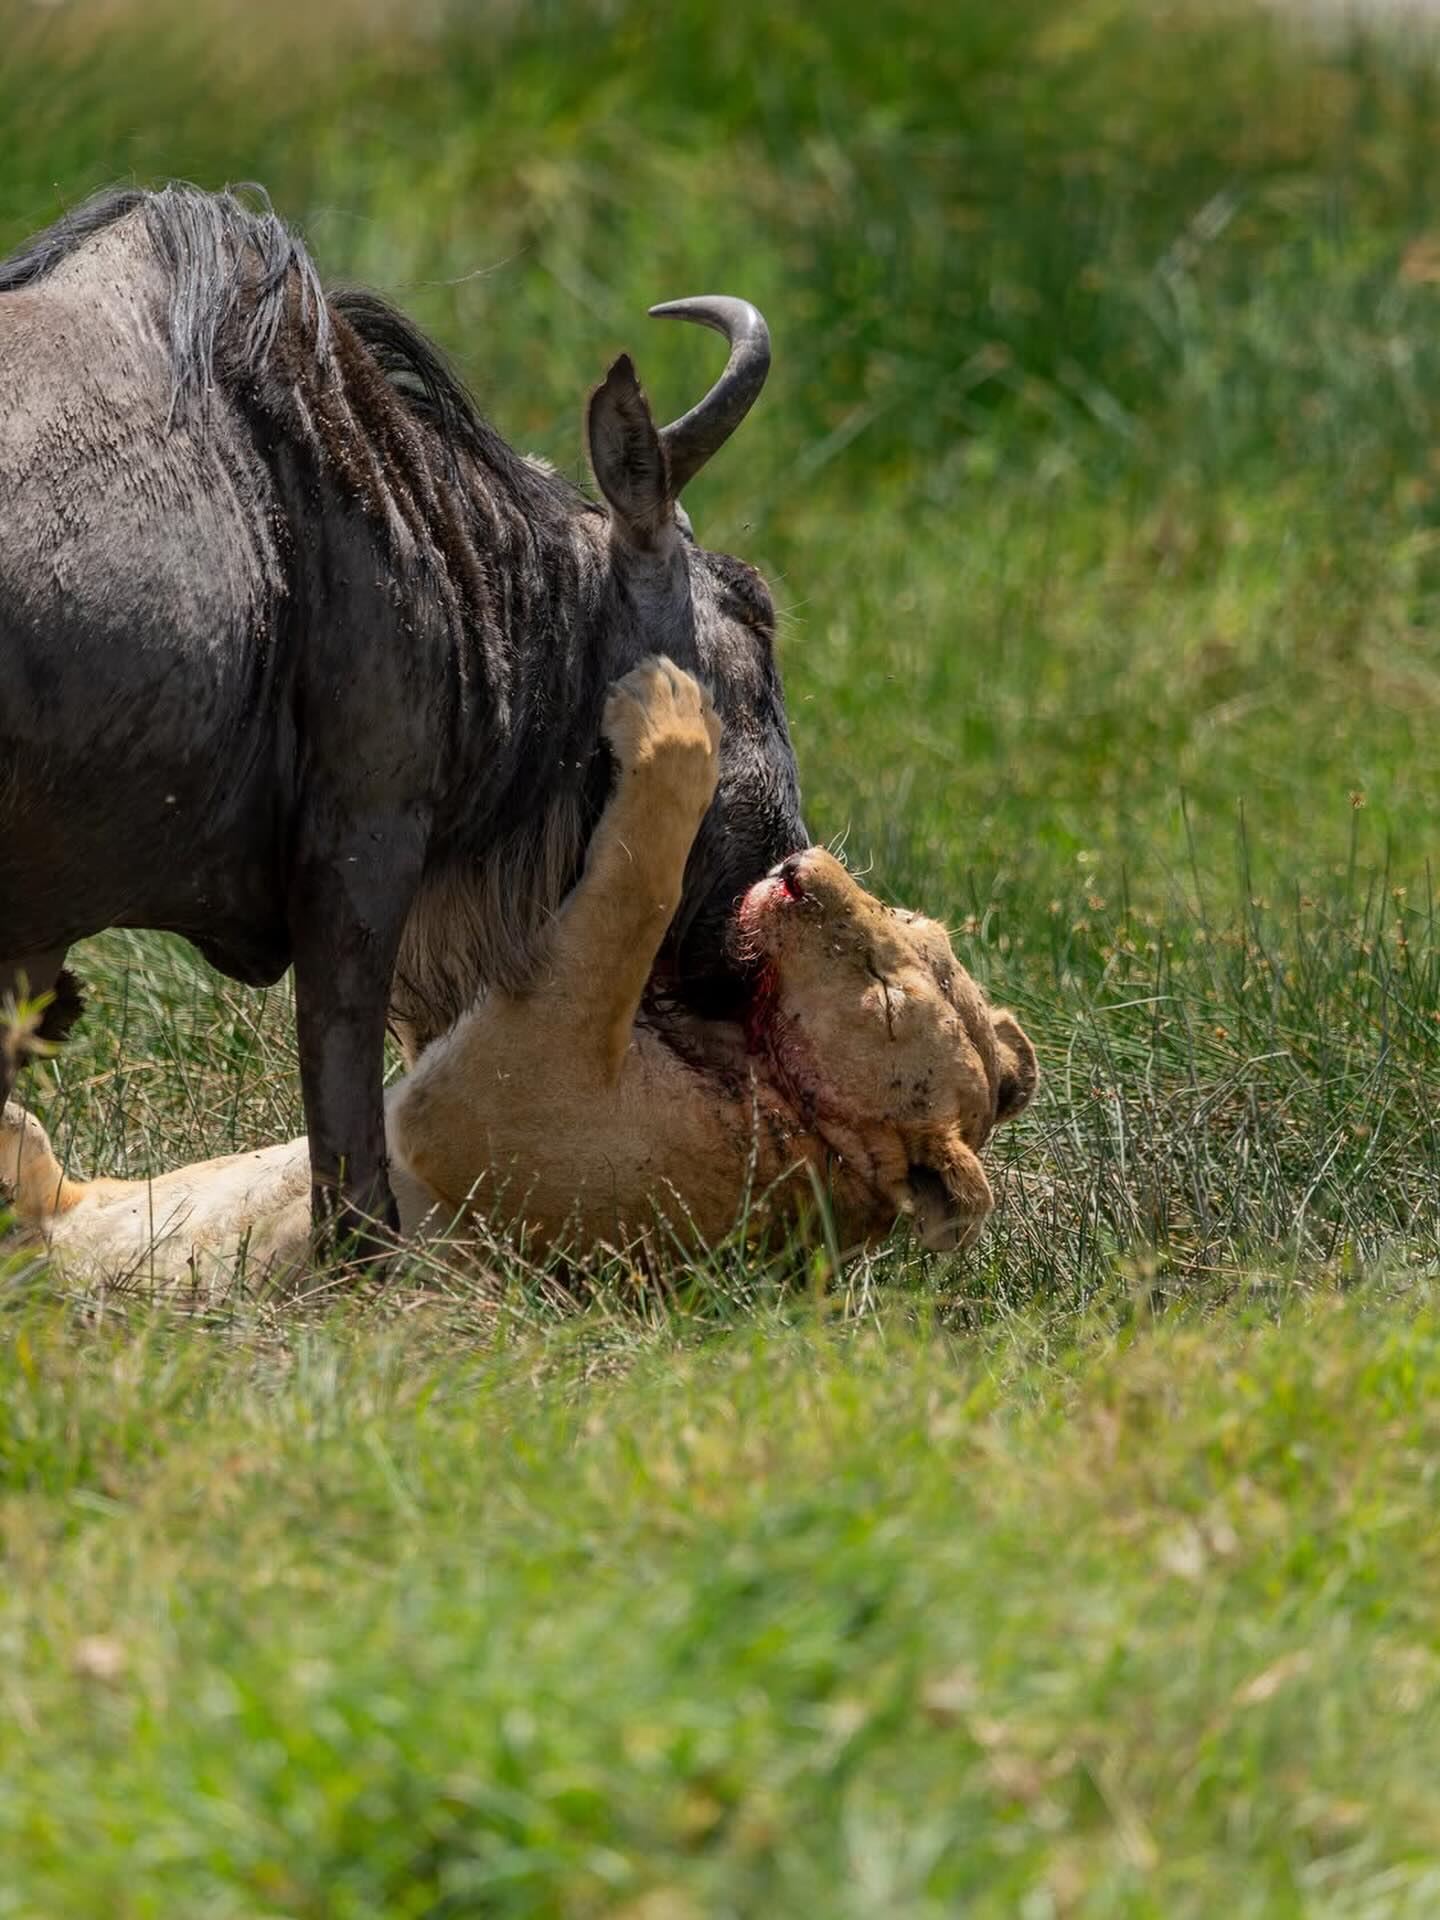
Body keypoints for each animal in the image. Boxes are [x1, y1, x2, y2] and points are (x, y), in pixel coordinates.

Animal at [1, 661, 1036, 1288]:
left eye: (888, 994)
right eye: (912, 928)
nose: (798, 869)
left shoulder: (501, 1090)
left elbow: (633, 893)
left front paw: (673, 711)